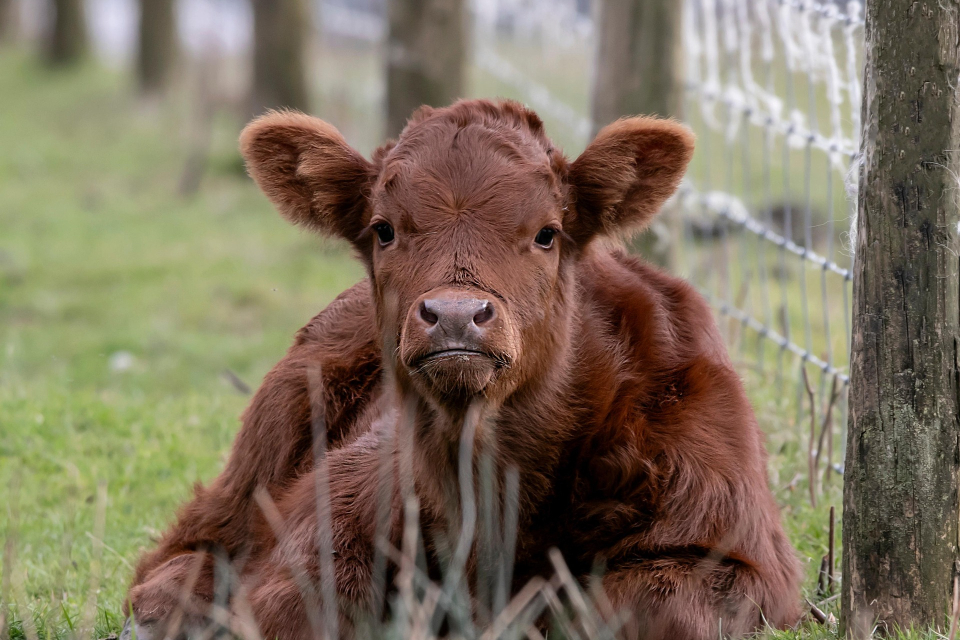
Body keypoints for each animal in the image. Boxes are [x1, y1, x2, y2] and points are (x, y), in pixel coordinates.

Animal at [127, 97, 804, 636]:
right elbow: (307, 598)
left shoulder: (738, 557)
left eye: (547, 233)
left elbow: (643, 606)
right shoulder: (335, 508)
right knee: (174, 557)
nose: (454, 315)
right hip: (268, 437)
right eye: (383, 229)